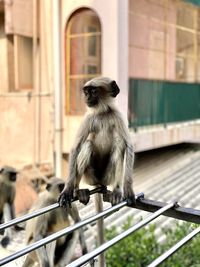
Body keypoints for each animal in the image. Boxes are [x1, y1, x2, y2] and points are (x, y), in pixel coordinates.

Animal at [58, 76, 135, 208]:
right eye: (86, 92)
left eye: (93, 92)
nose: (87, 98)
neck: (102, 113)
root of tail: (99, 182)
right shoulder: (88, 118)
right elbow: (75, 148)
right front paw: (67, 190)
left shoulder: (117, 115)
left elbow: (128, 145)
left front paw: (128, 189)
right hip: (90, 177)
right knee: (88, 145)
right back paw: (77, 190)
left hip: (107, 177)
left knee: (119, 144)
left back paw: (117, 190)